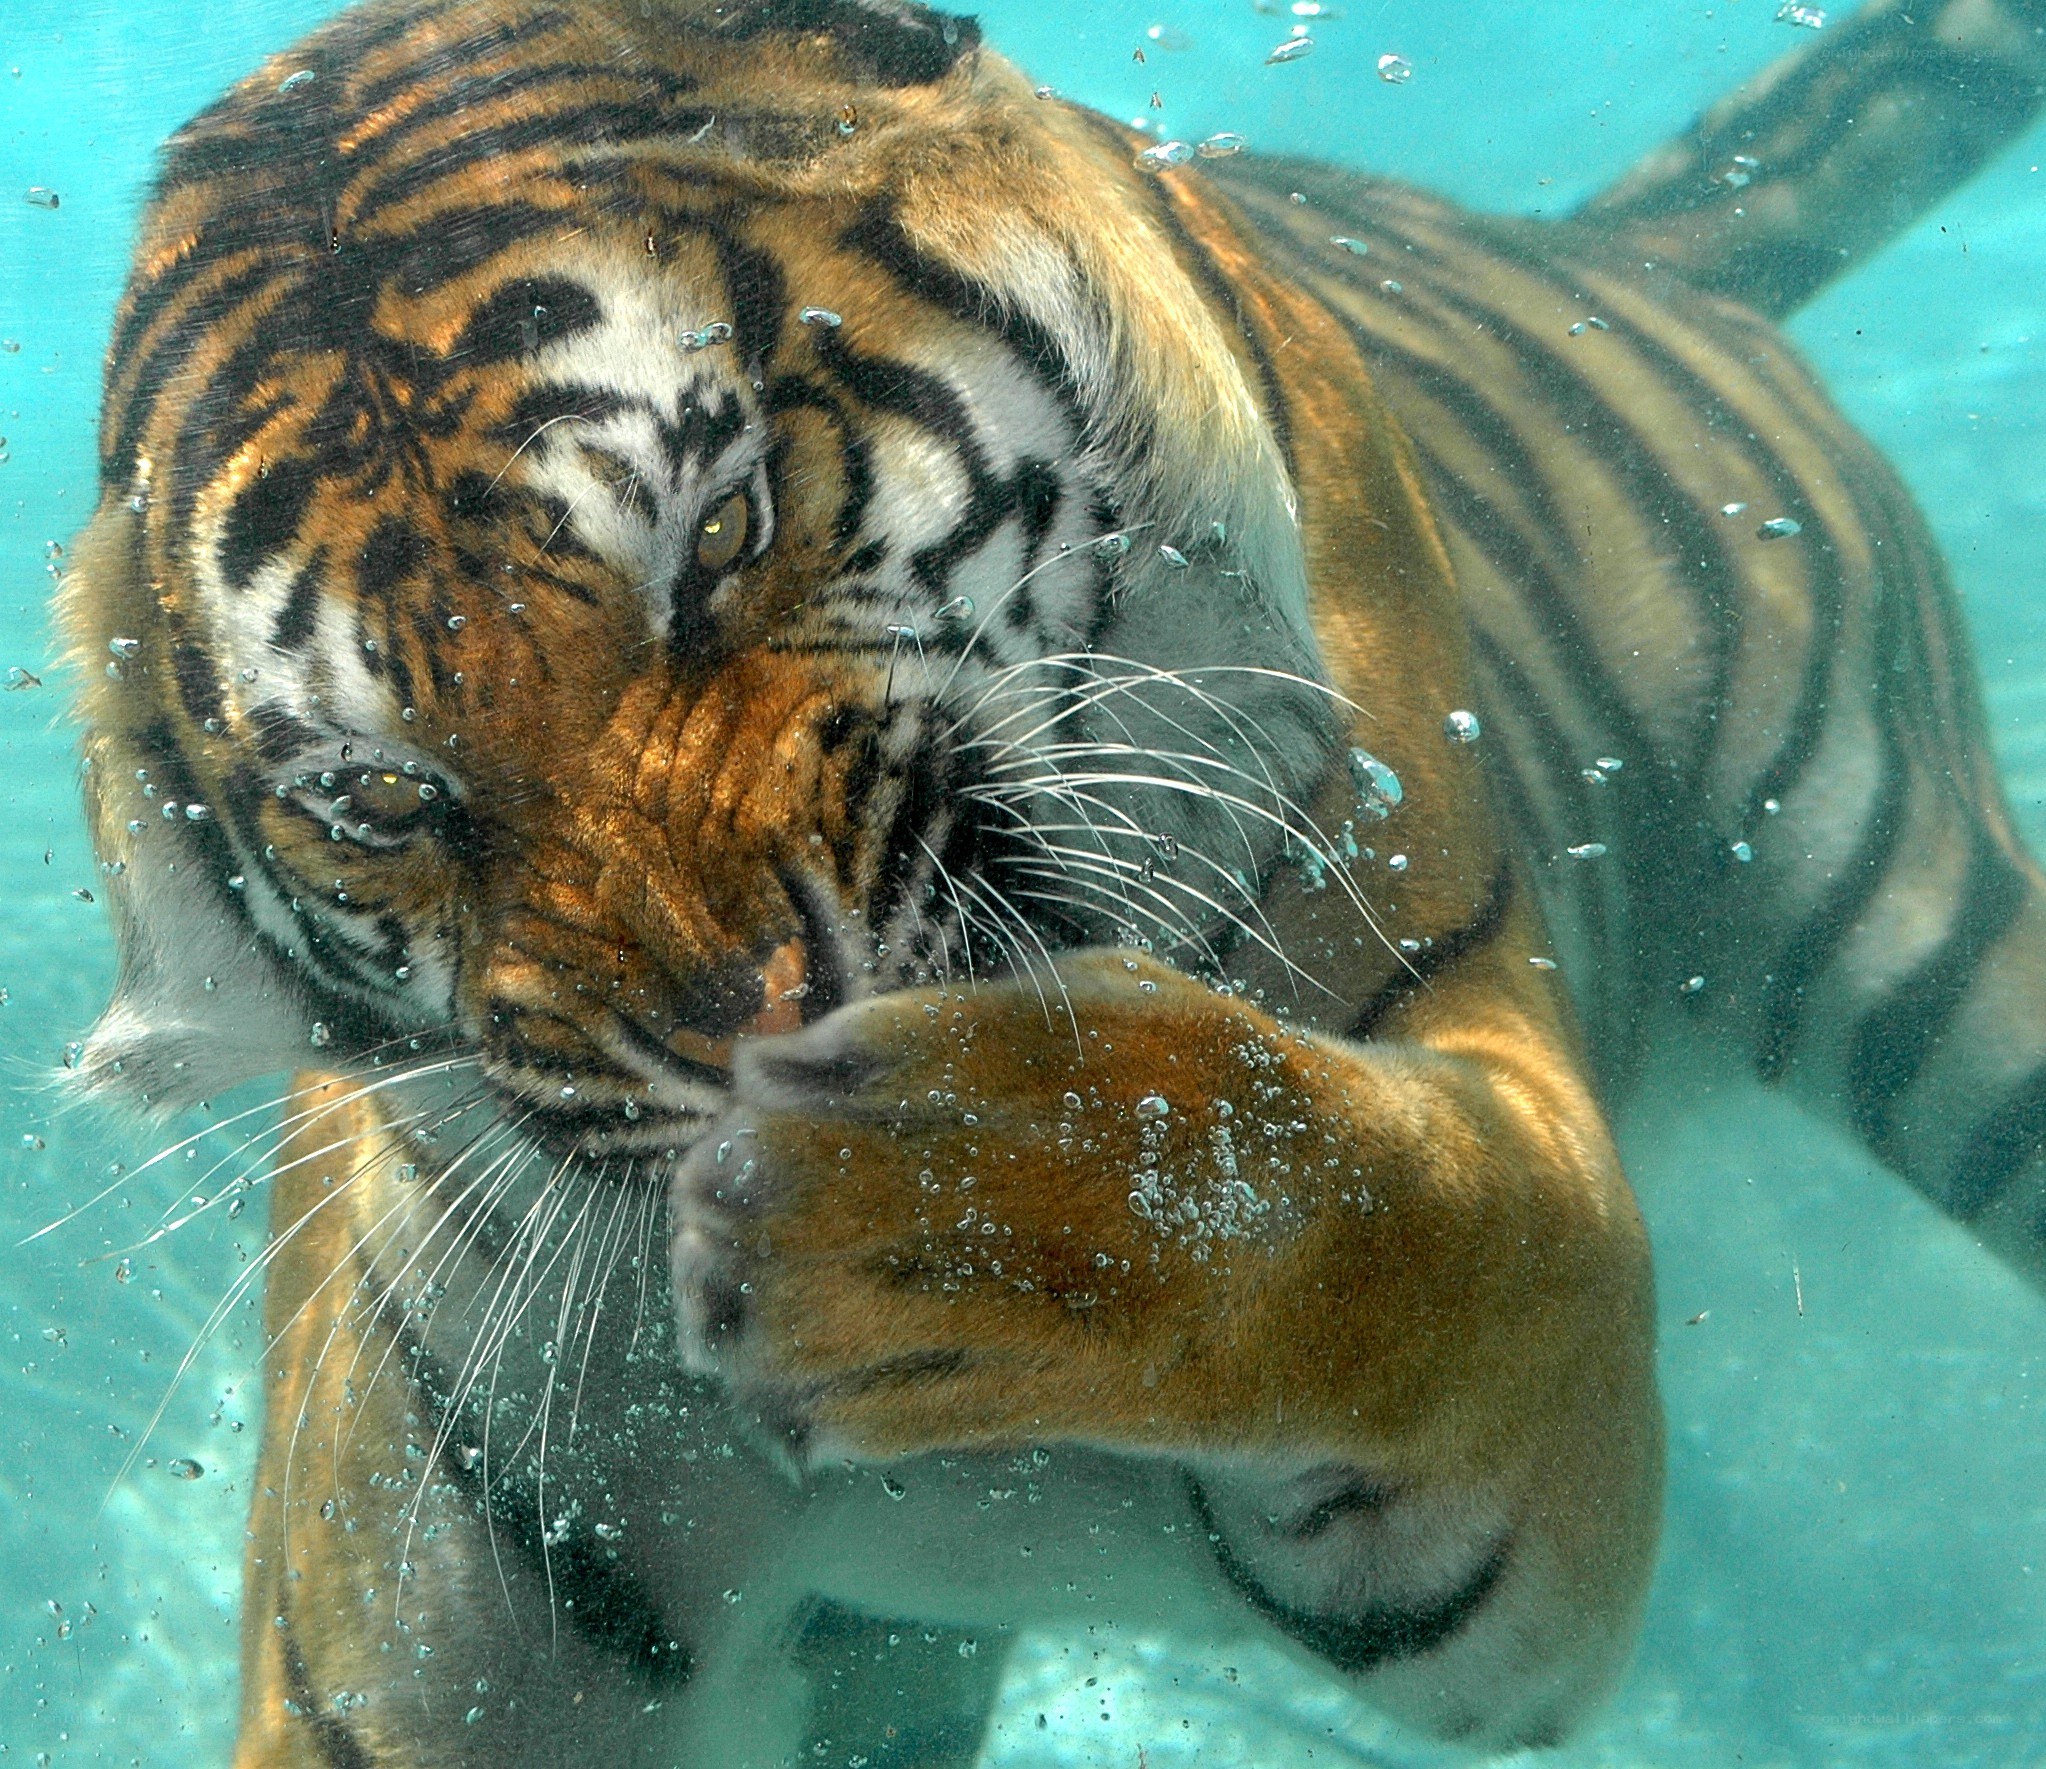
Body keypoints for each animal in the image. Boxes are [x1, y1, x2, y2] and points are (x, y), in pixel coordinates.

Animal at [56, 0, 2046, 1761]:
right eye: (384, 794)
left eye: (723, 530)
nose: (753, 1025)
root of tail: (1573, 244)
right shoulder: (420, 1659)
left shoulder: (1531, 1409)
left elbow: (1391, 1197)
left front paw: (944, 1202)